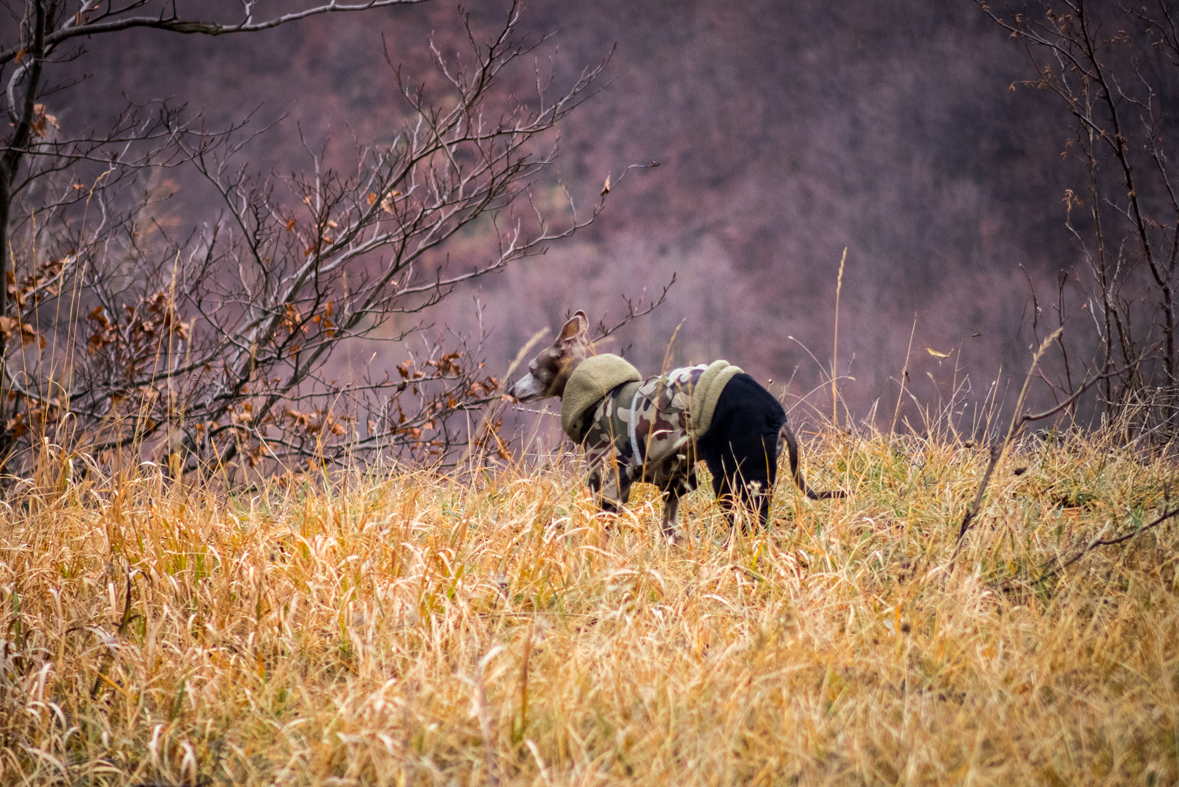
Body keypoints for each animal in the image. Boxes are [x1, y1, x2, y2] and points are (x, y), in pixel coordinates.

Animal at [502, 311, 844, 537]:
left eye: (531, 368)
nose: (510, 390)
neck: (599, 394)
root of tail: (776, 415)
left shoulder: (610, 479)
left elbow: (606, 523)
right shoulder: (675, 483)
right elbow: (669, 527)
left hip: (735, 475)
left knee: (749, 523)